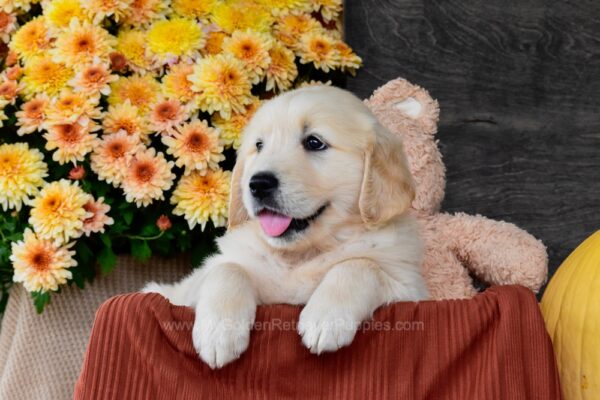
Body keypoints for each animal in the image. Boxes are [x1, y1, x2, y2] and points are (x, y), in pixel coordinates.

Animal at [143, 86, 428, 368]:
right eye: (259, 146)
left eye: (314, 142)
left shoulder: (410, 291)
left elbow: (361, 265)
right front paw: (219, 331)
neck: (298, 256)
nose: (258, 184)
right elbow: (227, 268)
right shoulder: (190, 289)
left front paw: (326, 317)